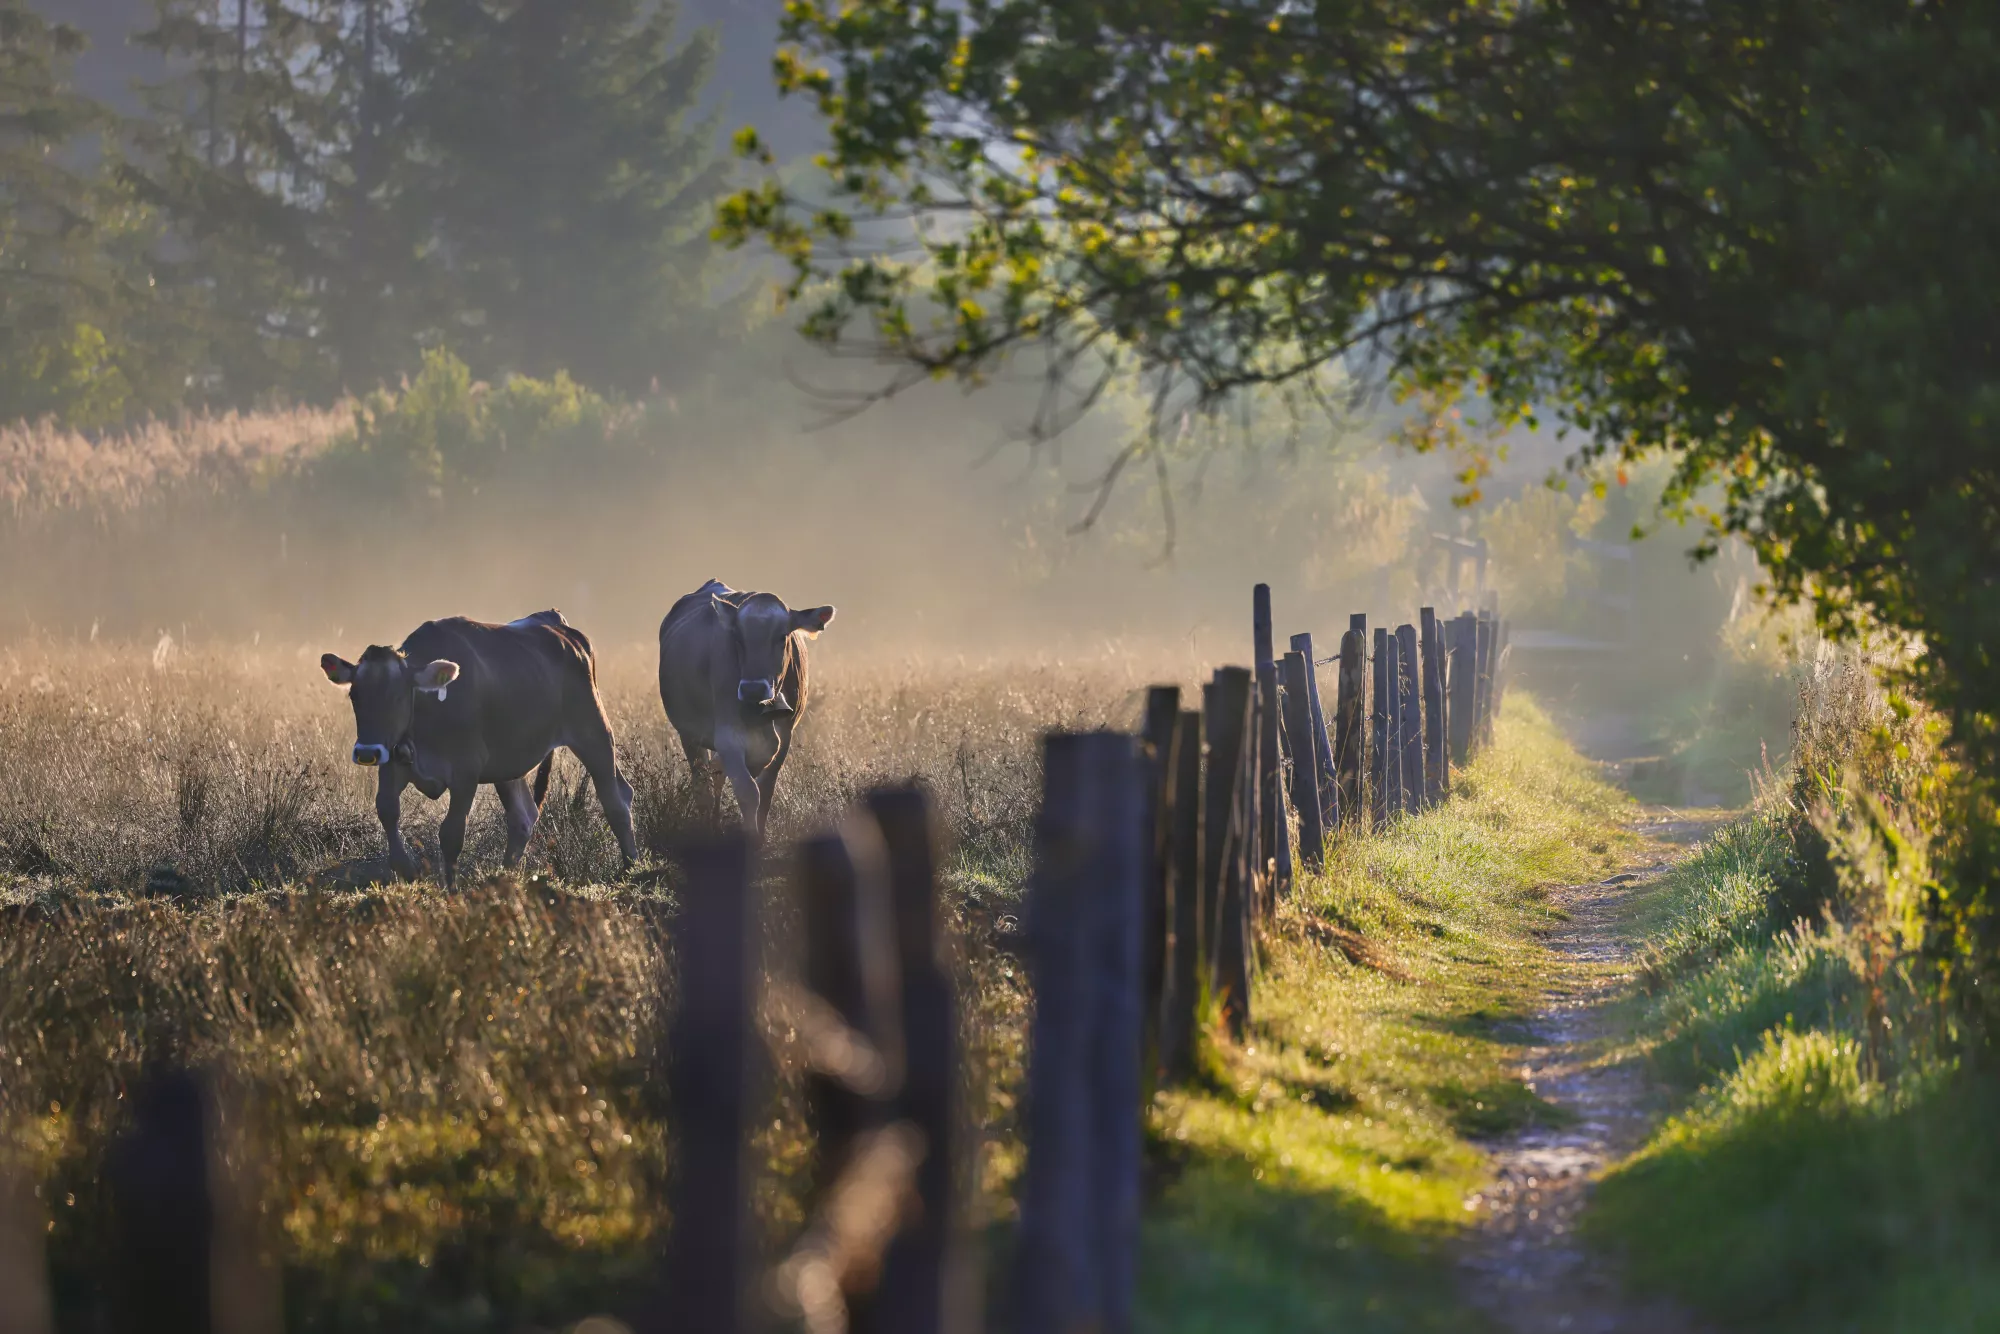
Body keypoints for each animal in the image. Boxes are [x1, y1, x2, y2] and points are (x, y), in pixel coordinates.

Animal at [320, 610, 637, 887]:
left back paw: (630, 868)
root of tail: (555, 620)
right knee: (523, 817)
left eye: (398, 696)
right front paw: (408, 869)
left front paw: (451, 890)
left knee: (616, 799)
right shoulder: (393, 759)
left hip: (593, 732)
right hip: (509, 761)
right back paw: (505, 877)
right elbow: (387, 809)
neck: (429, 707)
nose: (366, 752)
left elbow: (451, 834)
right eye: (354, 695)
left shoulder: (465, 771)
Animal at [657, 580, 835, 836]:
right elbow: (749, 793)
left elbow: (765, 793)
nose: (753, 689)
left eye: (782, 636)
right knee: (703, 786)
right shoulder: (728, 738)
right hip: (689, 734)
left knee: (716, 774)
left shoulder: (783, 737)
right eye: (738, 639)